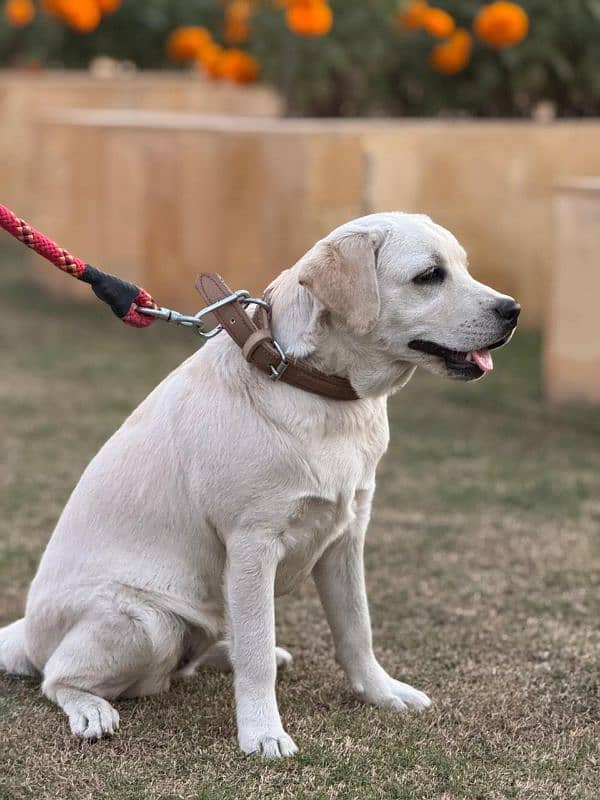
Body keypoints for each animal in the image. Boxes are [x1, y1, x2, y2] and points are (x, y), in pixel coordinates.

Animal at [0, 211, 516, 756]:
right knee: (59, 677)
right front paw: (264, 734)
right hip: (145, 621)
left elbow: (357, 630)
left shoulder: (347, 534)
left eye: (463, 266)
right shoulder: (253, 545)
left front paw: (381, 693)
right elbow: (257, 656)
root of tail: (24, 634)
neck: (306, 380)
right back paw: (92, 709)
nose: (513, 311)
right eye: (429, 276)